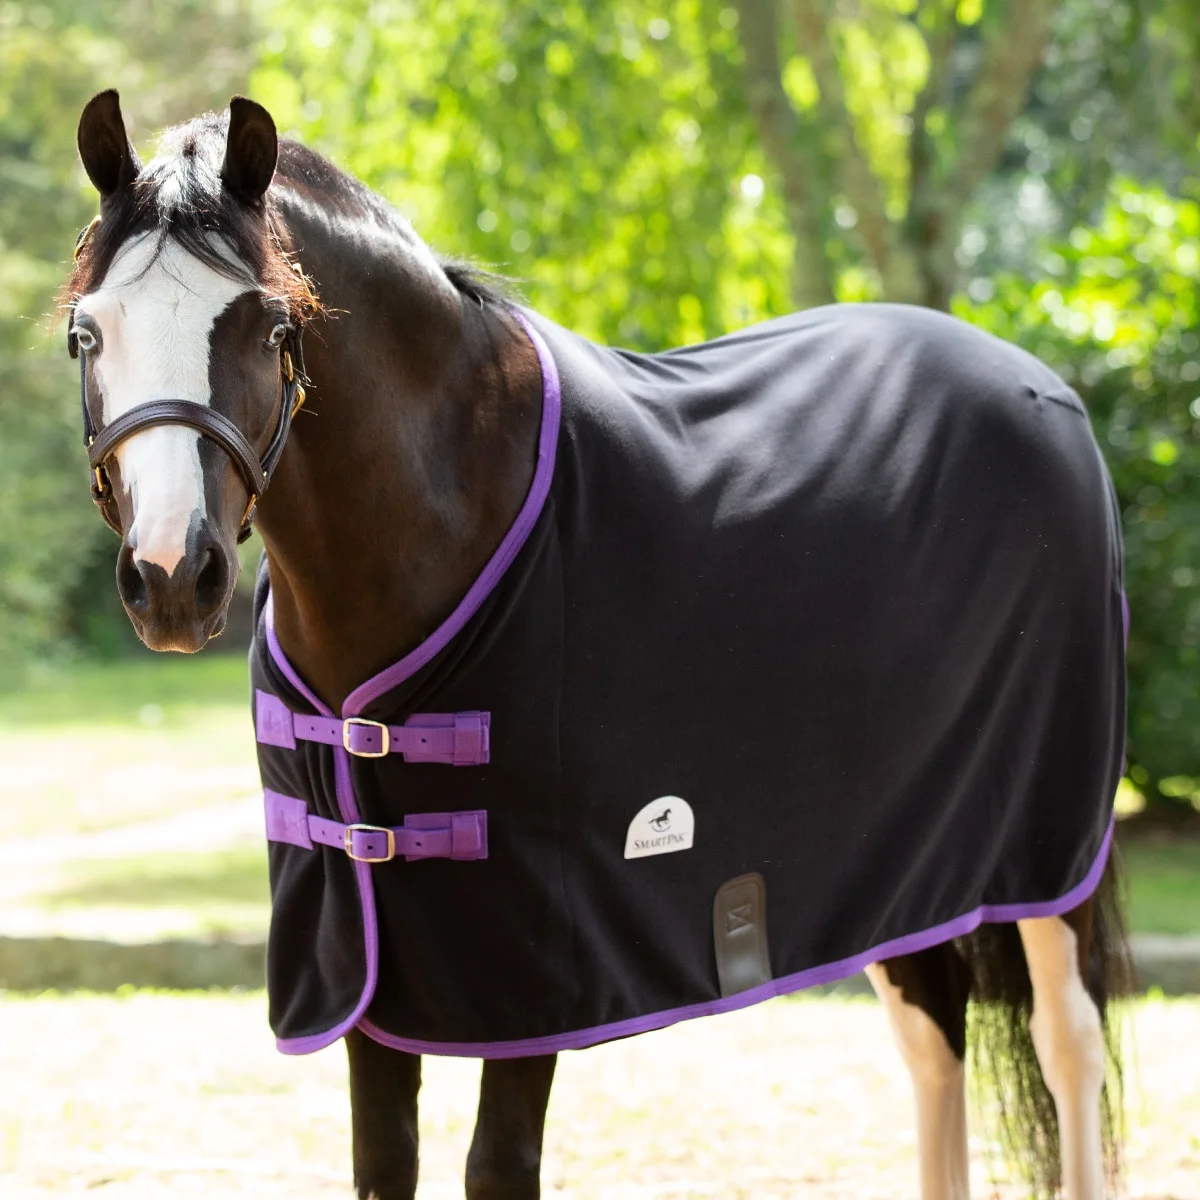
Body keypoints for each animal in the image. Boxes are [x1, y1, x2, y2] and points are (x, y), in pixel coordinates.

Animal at [62, 90, 1131, 1200]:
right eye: (85, 333)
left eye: (271, 325)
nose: (171, 577)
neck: (448, 501)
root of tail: (1042, 387)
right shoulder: (360, 951)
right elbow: (383, 1160)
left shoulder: (537, 972)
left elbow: (498, 1166)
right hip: (903, 863)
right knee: (934, 1038)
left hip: (1048, 841)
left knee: (1067, 1041)